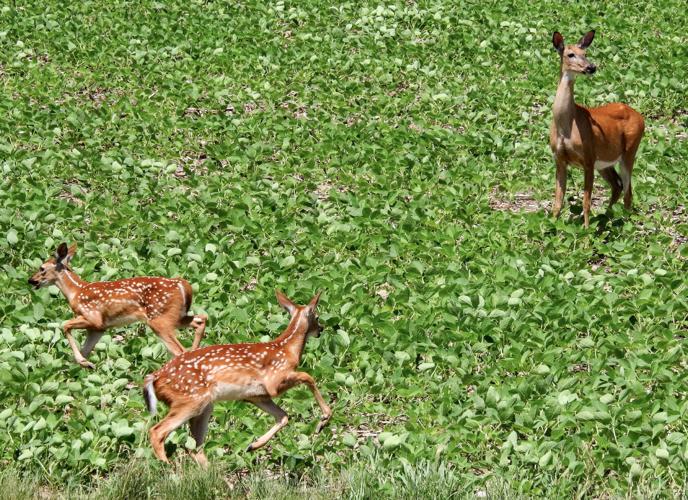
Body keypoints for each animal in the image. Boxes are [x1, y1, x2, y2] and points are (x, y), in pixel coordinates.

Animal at [28, 242, 207, 369]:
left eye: (42, 268)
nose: (31, 280)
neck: (76, 291)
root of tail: (184, 286)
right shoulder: (100, 328)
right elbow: (84, 350)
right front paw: (84, 365)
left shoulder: (93, 318)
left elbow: (65, 325)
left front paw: (83, 362)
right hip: (175, 316)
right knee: (201, 319)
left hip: (159, 319)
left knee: (180, 351)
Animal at [142, 290, 331, 467]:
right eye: (317, 316)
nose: (321, 329)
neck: (287, 349)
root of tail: (155, 377)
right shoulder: (274, 382)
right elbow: (308, 377)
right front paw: (323, 420)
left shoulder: (256, 396)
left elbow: (283, 416)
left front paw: (253, 446)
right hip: (190, 400)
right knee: (157, 432)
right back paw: (167, 467)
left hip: (204, 406)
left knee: (195, 448)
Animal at [550, 30, 645, 228]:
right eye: (570, 54)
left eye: (585, 53)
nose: (591, 67)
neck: (566, 128)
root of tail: (640, 116)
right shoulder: (559, 159)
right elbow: (557, 202)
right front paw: (550, 227)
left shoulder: (588, 158)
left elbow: (586, 202)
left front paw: (586, 232)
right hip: (605, 162)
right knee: (618, 185)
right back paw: (604, 220)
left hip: (629, 151)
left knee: (628, 191)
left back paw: (622, 224)